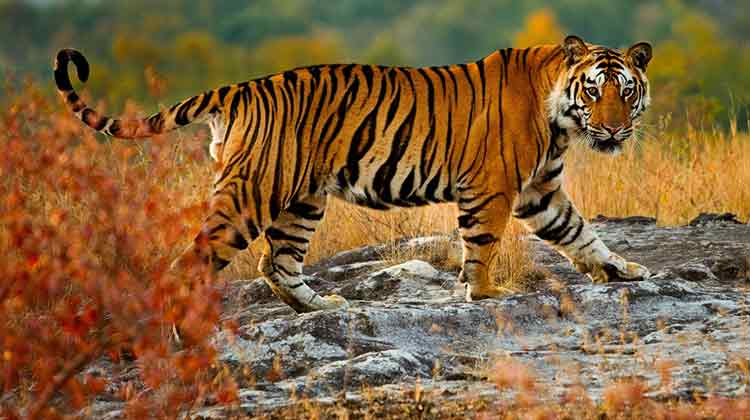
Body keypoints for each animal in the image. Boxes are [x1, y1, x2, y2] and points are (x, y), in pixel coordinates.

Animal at [54, 35, 653, 313]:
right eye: (593, 91)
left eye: (626, 92)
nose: (614, 129)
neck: (560, 118)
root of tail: (240, 87)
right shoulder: (493, 188)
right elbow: (482, 245)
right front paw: (484, 294)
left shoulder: (539, 191)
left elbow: (581, 233)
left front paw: (622, 270)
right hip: (253, 193)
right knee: (194, 260)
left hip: (300, 199)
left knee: (277, 262)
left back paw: (321, 305)